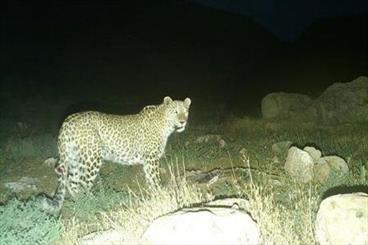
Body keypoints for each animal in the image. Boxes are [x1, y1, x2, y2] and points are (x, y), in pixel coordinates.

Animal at [41, 95, 190, 212]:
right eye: (175, 112)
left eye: (186, 112)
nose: (182, 121)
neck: (165, 124)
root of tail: (67, 121)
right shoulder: (151, 158)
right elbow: (155, 179)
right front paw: (162, 195)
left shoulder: (148, 161)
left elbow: (150, 180)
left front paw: (155, 196)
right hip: (92, 158)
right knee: (82, 183)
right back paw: (91, 202)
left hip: (75, 158)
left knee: (71, 182)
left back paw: (79, 202)